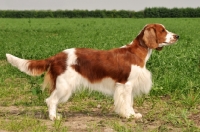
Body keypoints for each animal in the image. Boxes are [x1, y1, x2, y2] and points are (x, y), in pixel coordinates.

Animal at [5, 23, 178, 120]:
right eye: (163, 30)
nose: (177, 36)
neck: (136, 53)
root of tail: (56, 56)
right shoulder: (125, 84)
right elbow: (126, 102)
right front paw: (129, 115)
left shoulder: (128, 85)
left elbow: (129, 102)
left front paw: (132, 114)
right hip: (64, 85)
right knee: (51, 100)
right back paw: (54, 118)